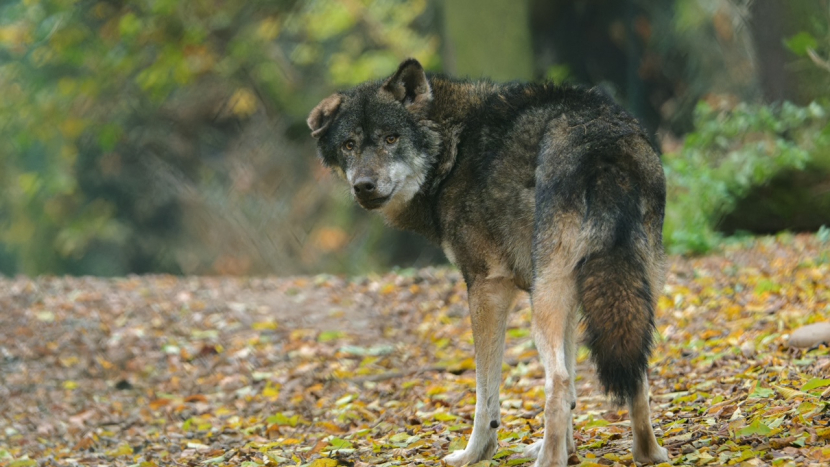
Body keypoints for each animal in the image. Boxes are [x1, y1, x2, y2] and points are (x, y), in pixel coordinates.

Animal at [308, 59, 672, 467]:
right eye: (349, 145)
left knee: (557, 382)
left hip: (544, 300)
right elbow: (575, 388)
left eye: (391, 139)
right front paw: (567, 448)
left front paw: (476, 453)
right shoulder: (566, 297)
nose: (364, 186)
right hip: (627, 292)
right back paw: (648, 452)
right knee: (633, 371)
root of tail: (601, 144)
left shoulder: (487, 287)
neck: (453, 148)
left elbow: (486, 393)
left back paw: (548, 462)